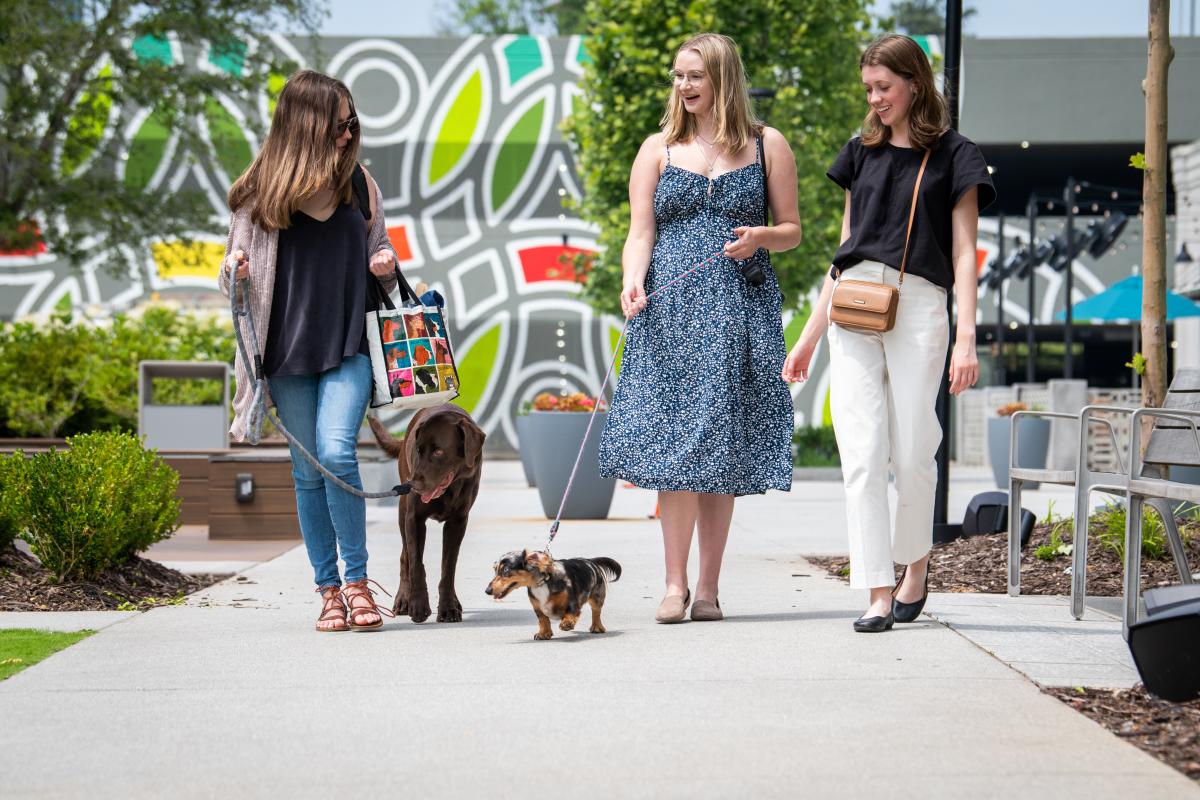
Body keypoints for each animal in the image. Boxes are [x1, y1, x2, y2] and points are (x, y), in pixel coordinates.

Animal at [364, 402, 482, 623]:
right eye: (418, 450)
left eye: (438, 451)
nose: (413, 486)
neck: (450, 489)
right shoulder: (414, 519)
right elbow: (416, 565)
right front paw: (418, 605)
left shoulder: (458, 522)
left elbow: (448, 568)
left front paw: (448, 608)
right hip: (402, 514)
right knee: (405, 559)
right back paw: (404, 599)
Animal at [484, 546, 624, 642]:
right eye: (495, 570)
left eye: (506, 570)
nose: (487, 590)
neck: (542, 583)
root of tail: (590, 561)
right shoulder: (537, 607)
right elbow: (543, 619)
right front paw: (544, 633)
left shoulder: (573, 601)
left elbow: (570, 612)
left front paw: (566, 623)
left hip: (597, 597)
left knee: (596, 612)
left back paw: (597, 627)